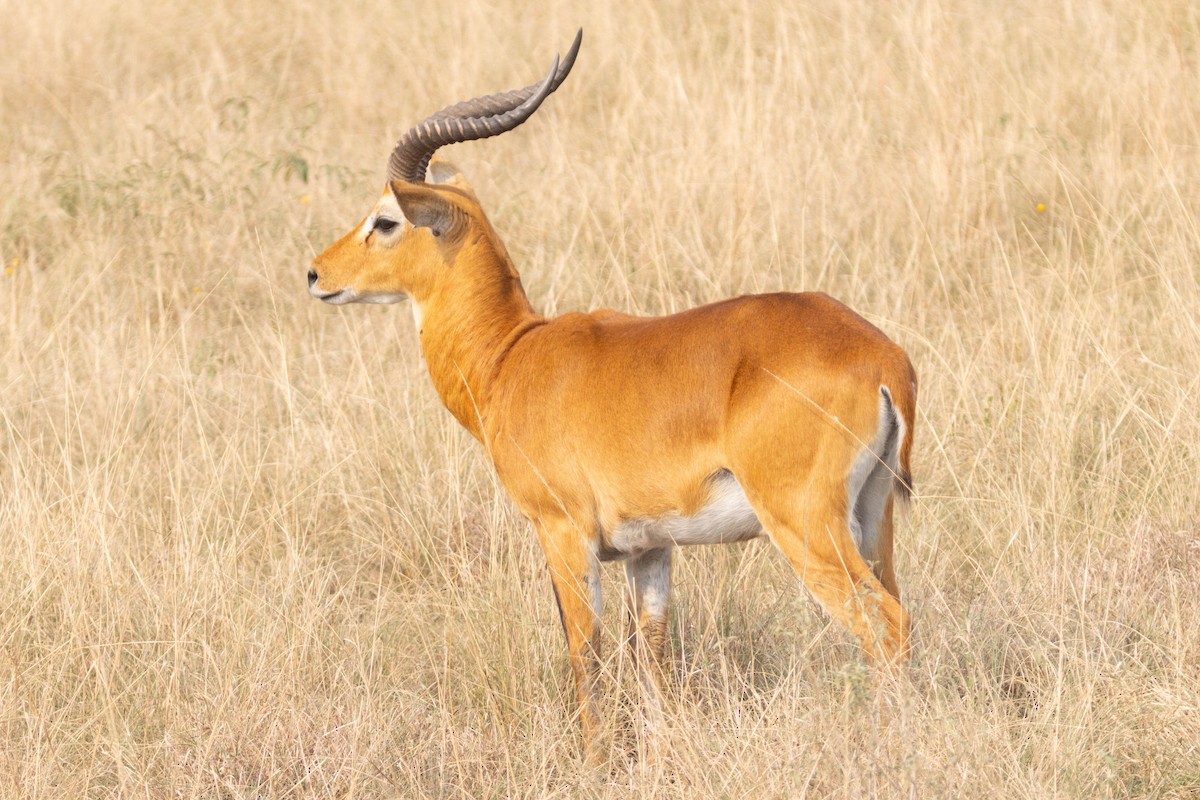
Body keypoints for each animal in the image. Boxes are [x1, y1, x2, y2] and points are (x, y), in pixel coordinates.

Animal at [307, 30, 916, 760]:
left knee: (884, 624)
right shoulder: (650, 549)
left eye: (386, 220)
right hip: (874, 518)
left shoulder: (563, 533)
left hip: (805, 524)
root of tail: (883, 360)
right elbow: (651, 652)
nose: (315, 273)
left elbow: (584, 646)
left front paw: (593, 759)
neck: (510, 356)